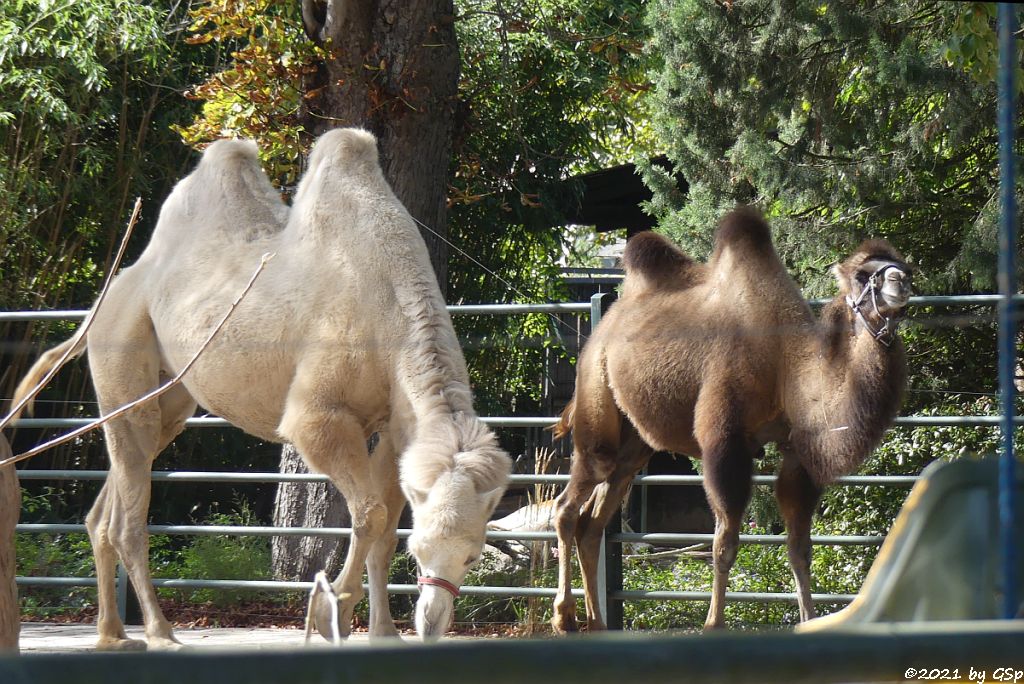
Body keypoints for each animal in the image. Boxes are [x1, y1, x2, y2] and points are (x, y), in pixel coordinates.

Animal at [14, 127, 509, 647]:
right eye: (420, 551)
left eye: (473, 555)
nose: (431, 625)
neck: (389, 306)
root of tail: (105, 301)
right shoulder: (319, 417)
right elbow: (371, 514)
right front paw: (329, 612)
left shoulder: (396, 425)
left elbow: (386, 523)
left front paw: (384, 633)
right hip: (123, 358)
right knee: (129, 515)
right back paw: (159, 632)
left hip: (169, 398)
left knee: (109, 503)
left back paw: (112, 633)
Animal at [552, 206, 913, 630]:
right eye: (862, 274)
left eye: (903, 264)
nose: (901, 280)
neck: (785, 363)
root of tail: (602, 326)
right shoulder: (724, 443)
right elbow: (724, 543)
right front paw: (714, 624)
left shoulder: (796, 451)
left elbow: (800, 546)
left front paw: (808, 619)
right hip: (596, 394)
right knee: (568, 505)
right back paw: (565, 616)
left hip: (634, 444)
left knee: (593, 522)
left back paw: (597, 622)